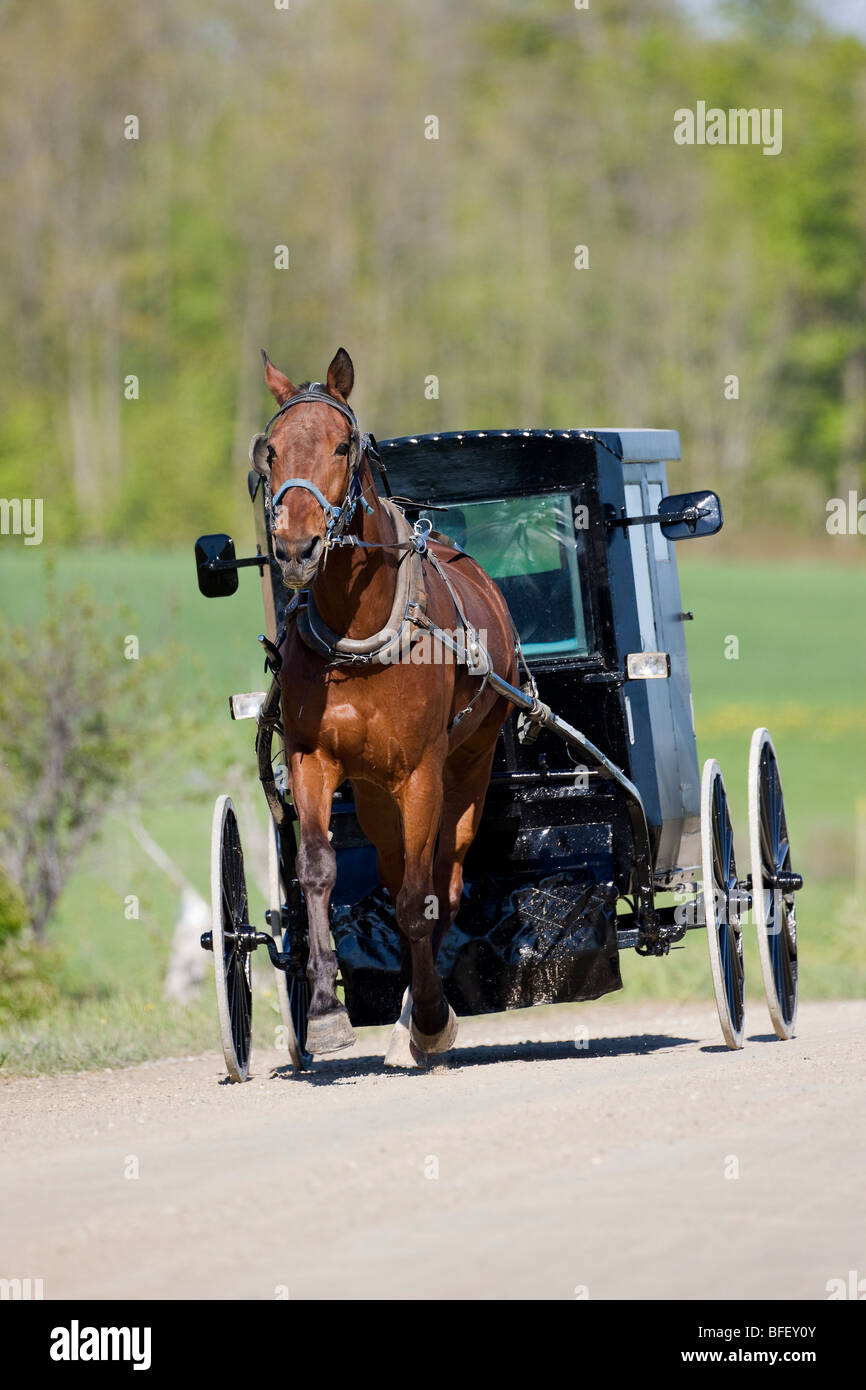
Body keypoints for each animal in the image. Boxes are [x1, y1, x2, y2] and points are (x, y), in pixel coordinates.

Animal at [250, 347, 517, 1063]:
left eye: (342, 446)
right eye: (271, 452)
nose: (294, 549)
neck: (360, 633)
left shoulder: (421, 771)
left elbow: (418, 899)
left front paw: (428, 1016)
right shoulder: (314, 758)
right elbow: (317, 870)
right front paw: (323, 1009)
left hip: (468, 766)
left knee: (440, 882)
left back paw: (420, 1018)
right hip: (372, 791)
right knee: (398, 871)